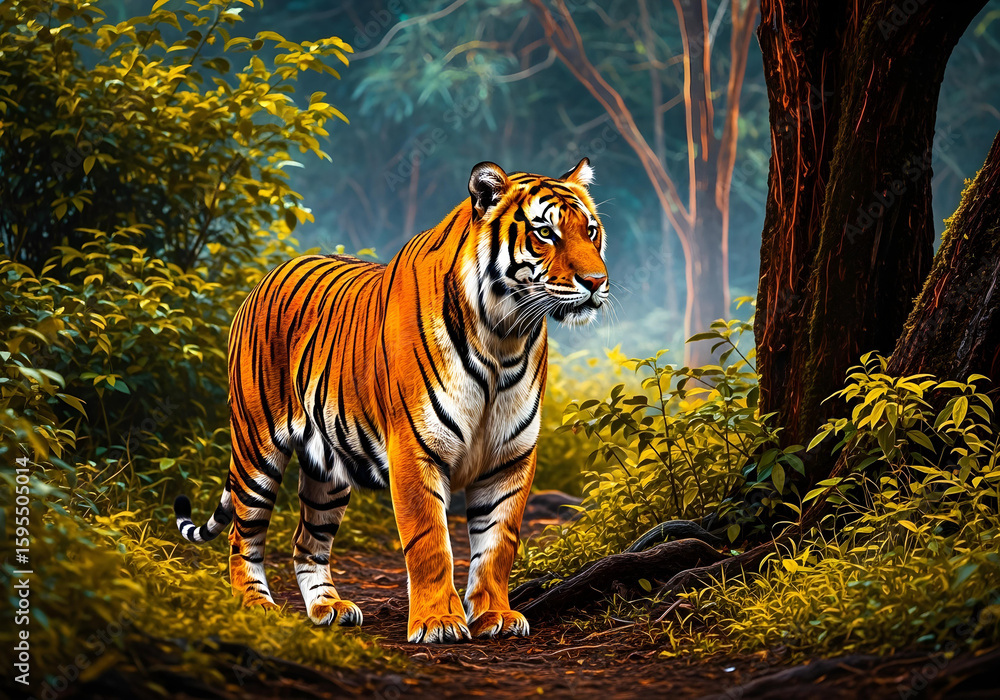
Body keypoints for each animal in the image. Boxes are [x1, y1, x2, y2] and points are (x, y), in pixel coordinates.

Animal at [174, 158, 609, 643]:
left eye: (590, 231)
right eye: (545, 233)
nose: (597, 282)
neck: (504, 335)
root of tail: (264, 279)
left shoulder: (510, 458)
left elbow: (498, 543)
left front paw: (495, 615)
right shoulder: (416, 448)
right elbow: (430, 540)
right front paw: (439, 622)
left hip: (327, 472)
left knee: (306, 542)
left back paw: (329, 608)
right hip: (256, 449)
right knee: (242, 537)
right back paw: (255, 608)